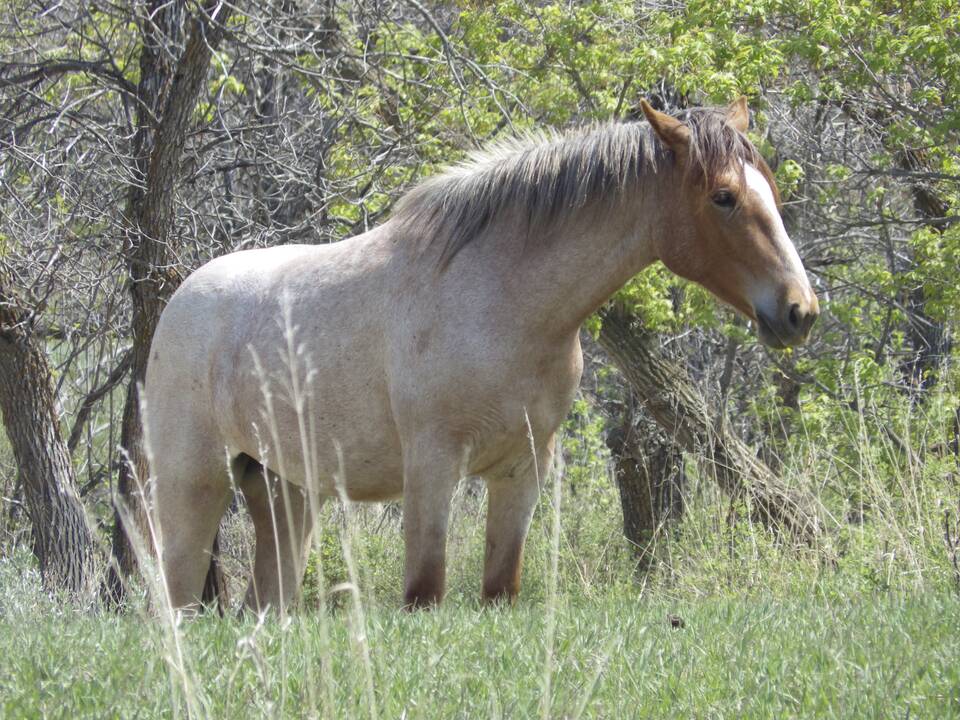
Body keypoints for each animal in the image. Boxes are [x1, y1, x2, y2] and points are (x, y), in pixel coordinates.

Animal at [146, 98, 820, 612]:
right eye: (724, 197)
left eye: (769, 190)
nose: (800, 310)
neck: (503, 302)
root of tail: (182, 298)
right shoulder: (433, 467)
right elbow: (425, 592)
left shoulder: (522, 470)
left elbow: (500, 589)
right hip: (192, 490)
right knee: (178, 603)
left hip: (286, 496)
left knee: (264, 604)